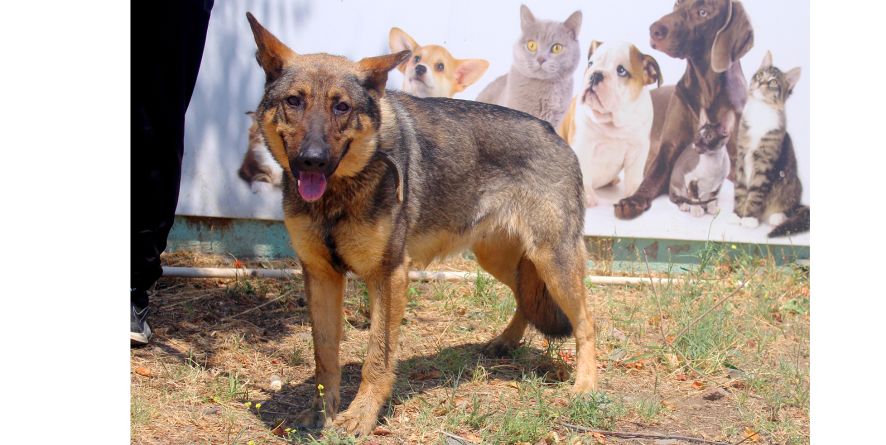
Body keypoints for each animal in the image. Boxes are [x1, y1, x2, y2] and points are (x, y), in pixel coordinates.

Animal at [246, 12, 600, 436]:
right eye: (294, 101)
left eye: (342, 107)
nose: (312, 160)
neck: (340, 191)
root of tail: (554, 133)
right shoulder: (321, 275)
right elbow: (325, 355)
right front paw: (319, 413)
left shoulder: (389, 276)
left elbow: (378, 357)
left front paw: (362, 415)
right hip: (500, 259)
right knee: (525, 299)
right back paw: (505, 343)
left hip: (553, 262)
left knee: (587, 323)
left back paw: (585, 385)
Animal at [616, 0, 756, 219]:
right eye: (676, 4)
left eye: (703, 12)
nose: (654, 29)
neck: (708, 90)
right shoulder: (668, 150)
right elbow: (651, 179)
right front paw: (633, 200)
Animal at [732, 51, 808, 236]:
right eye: (759, 75)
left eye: (773, 82)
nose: (760, 82)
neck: (761, 112)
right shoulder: (741, 156)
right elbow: (740, 189)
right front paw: (737, 214)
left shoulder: (765, 162)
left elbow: (755, 193)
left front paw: (749, 218)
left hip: (792, 183)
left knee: (790, 207)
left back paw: (777, 216)